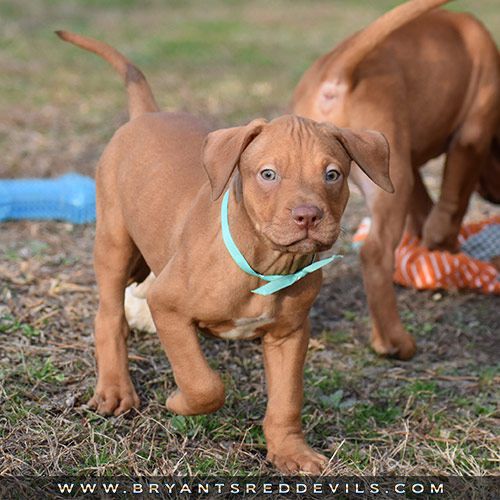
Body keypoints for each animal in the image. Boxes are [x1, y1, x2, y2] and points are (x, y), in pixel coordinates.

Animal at [54, 31, 390, 472]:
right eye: (268, 174)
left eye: (332, 174)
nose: (308, 216)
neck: (264, 266)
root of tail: (148, 113)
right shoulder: (167, 306)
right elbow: (203, 384)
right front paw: (178, 400)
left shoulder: (289, 334)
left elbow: (286, 400)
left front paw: (290, 451)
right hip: (113, 239)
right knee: (109, 315)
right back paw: (114, 388)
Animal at [288, 0, 500, 360]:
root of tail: (338, 73)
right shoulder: (470, 140)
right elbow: (452, 204)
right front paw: (445, 247)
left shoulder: (403, 159)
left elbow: (424, 207)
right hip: (390, 186)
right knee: (375, 252)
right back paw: (394, 341)